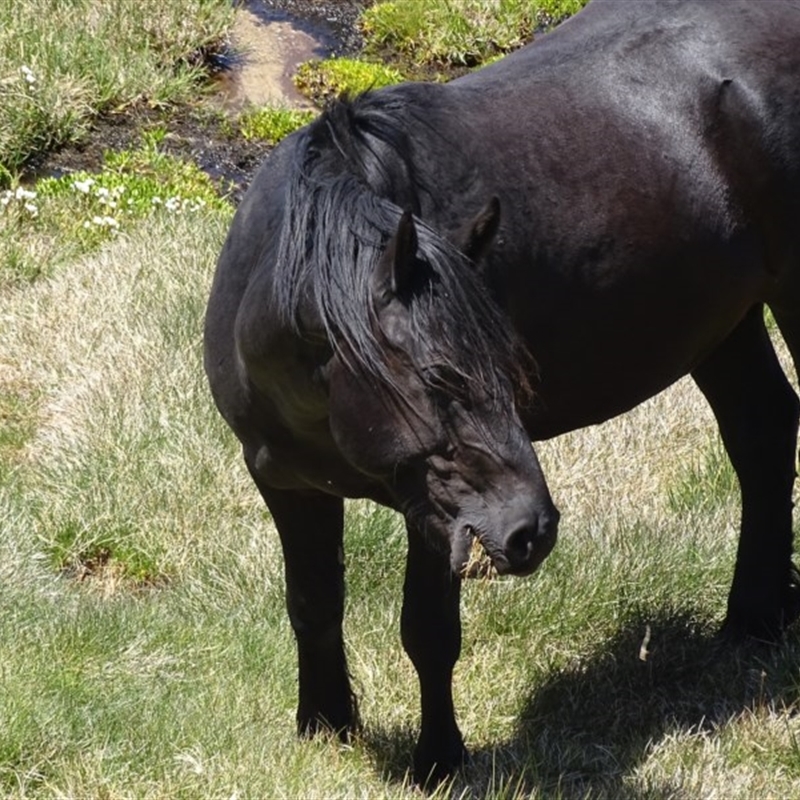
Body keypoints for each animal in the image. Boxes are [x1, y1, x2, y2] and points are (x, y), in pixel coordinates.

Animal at [205, 0, 800, 788]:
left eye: (513, 369)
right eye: (438, 378)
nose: (531, 531)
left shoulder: (433, 510)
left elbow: (428, 633)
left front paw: (438, 761)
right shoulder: (285, 481)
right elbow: (312, 604)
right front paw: (325, 728)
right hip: (720, 319)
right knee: (764, 433)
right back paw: (753, 623)